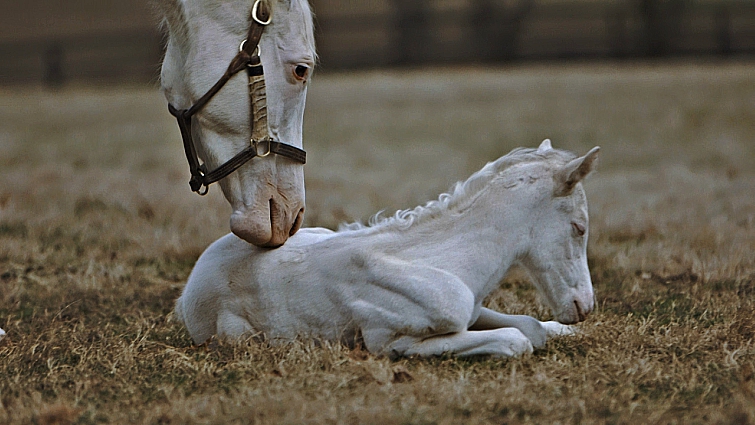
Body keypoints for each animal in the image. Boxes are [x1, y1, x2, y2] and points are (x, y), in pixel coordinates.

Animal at [174, 140, 600, 358]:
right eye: (579, 228)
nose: (584, 307)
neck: (441, 261)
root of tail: (188, 288)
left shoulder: (473, 308)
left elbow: (531, 327)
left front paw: (560, 330)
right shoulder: (392, 341)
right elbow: (518, 340)